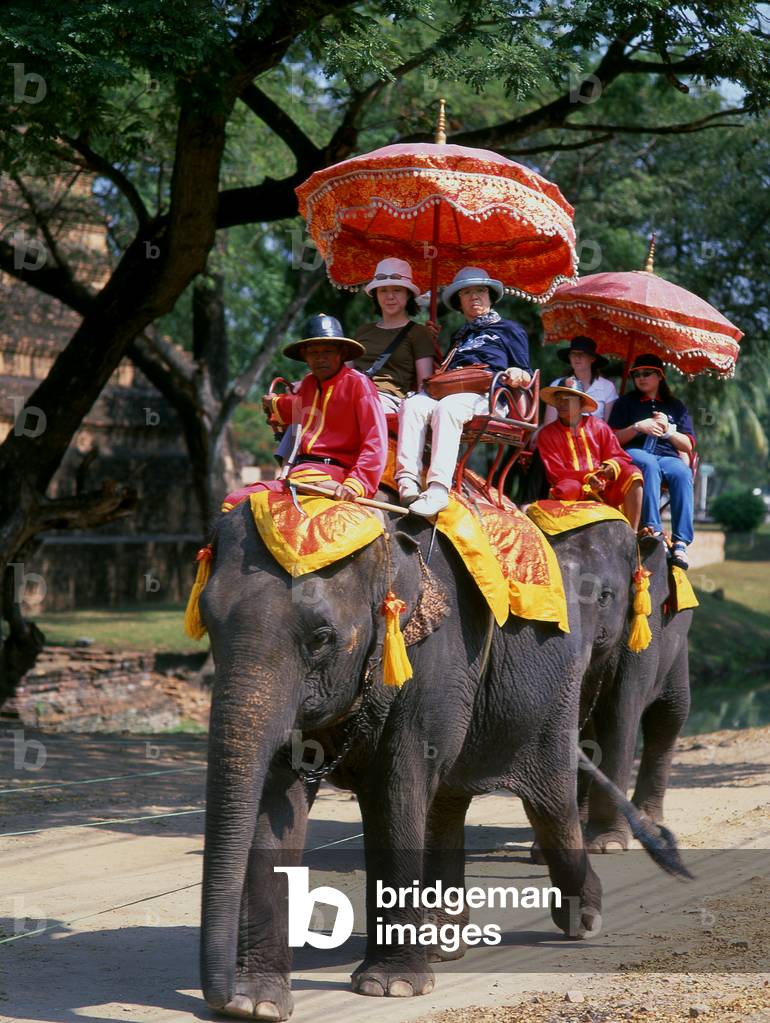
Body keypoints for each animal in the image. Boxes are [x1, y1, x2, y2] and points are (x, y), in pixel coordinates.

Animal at [197, 498, 687, 1021]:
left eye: (321, 637)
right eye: (207, 621)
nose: (219, 997)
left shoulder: (432, 661)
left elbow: (396, 789)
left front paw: (391, 988)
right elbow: (276, 799)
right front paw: (256, 1004)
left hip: (551, 693)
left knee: (549, 800)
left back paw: (584, 919)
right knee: (448, 800)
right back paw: (442, 941)